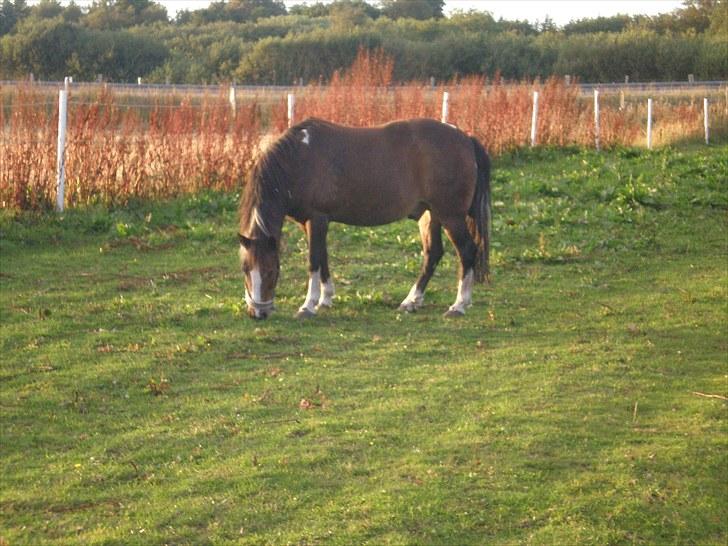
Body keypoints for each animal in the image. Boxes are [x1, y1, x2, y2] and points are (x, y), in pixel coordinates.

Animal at [238, 117, 491, 320]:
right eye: (245, 270)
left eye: (271, 271)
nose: (258, 313)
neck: (298, 161)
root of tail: (465, 139)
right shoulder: (312, 223)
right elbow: (322, 258)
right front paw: (326, 299)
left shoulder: (317, 219)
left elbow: (313, 261)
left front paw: (308, 306)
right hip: (430, 216)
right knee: (433, 254)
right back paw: (411, 301)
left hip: (451, 216)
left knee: (467, 251)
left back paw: (459, 305)